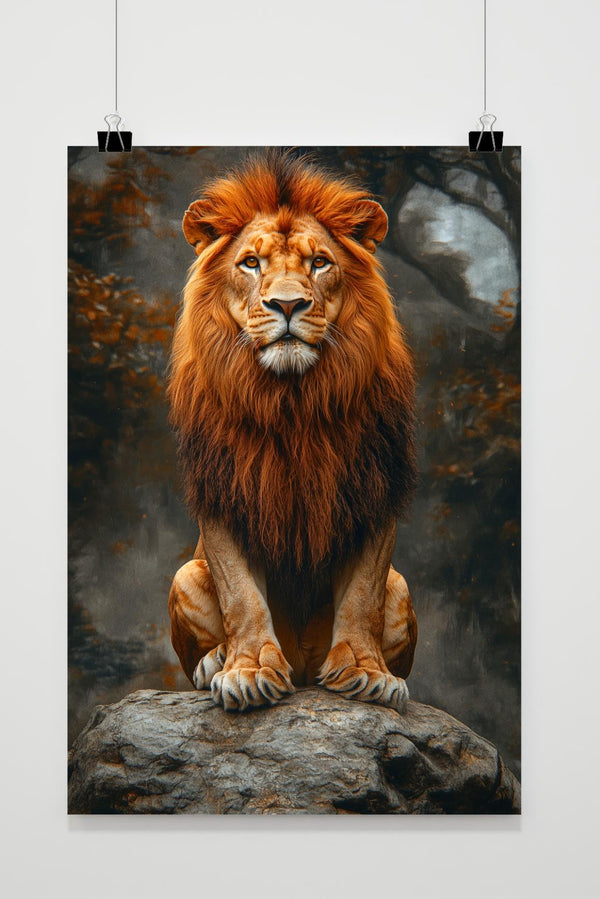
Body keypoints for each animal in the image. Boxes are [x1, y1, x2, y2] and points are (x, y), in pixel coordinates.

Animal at [167, 151, 418, 713]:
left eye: (319, 262)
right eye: (251, 263)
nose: (287, 305)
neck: (293, 401)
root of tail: (304, 667)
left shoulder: (376, 486)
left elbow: (363, 595)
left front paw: (368, 672)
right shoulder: (224, 490)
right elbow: (241, 596)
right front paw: (248, 670)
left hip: (404, 587)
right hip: (185, 575)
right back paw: (214, 661)